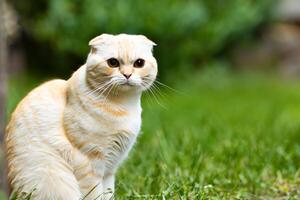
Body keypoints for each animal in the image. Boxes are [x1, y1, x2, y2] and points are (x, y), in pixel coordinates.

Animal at [5, 33, 158, 199]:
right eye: (113, 63)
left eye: (139, 63)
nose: (127, 74)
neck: (123, 106)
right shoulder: (90, 164)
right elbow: (95, 194)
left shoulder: (110, 169)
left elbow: (108, 193)